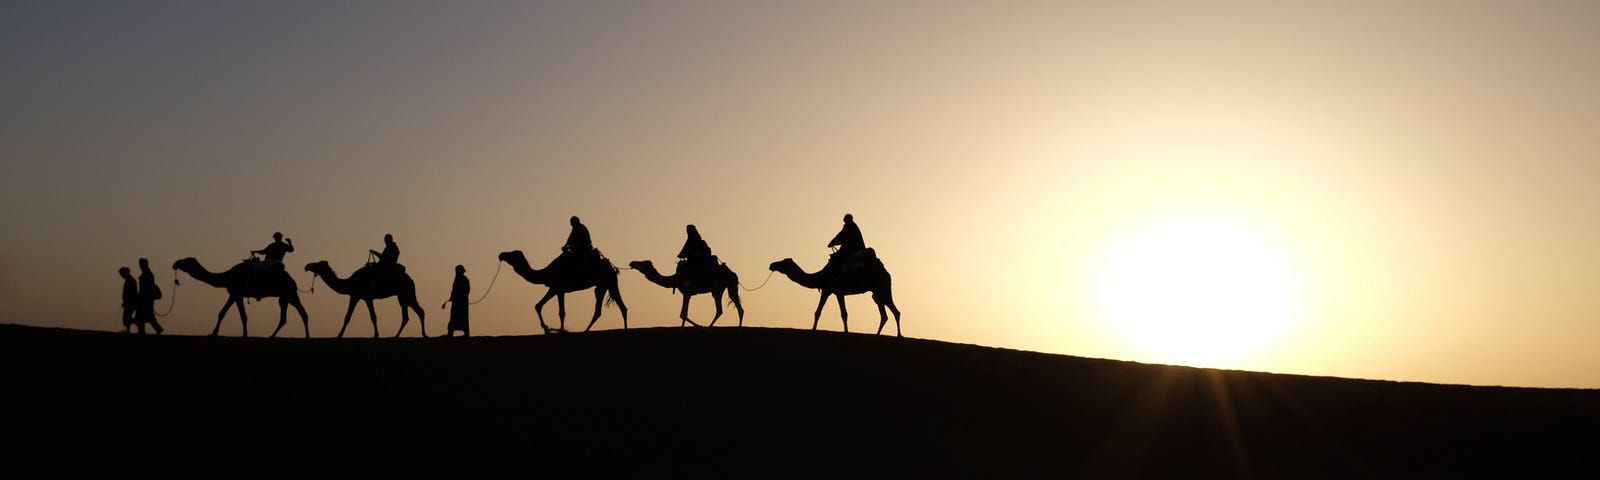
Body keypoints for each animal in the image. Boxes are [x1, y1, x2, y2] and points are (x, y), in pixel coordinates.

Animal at [175, 259, 312, 337]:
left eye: (186, 261)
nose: (175, 263)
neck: (227, 277)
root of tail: (293, 280)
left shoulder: (236, 293)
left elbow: (241, 316)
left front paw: (244, 335)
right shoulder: (234, 294)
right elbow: (222, 312)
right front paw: (213, 333)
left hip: (289, 292)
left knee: (298, 313)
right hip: (286, 296)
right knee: (294, 315)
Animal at [496, 251, 627, 334]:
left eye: (512, 254)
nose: (501, 254)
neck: (546, 273)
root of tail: (613, 267)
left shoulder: (559, 288)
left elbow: (562, 312)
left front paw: (560, 330)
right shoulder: (554, 288)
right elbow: (538, 305)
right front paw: (546, 328)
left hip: (608, 282)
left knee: (611, 307)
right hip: (605, 284)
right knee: (616, 307)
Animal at [771, 254, 902, 337]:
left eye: (783, 262)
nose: (772, 265)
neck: (820, 276)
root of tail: (887, 273)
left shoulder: (828, 290)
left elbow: (819, 312)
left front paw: (813, 330)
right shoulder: (838, 293)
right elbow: (843, 314)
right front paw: (846, 331)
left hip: (882, 288)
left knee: (895, 312)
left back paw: (899, 335)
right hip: (877, 294)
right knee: (885, 314)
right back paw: (878, 334)